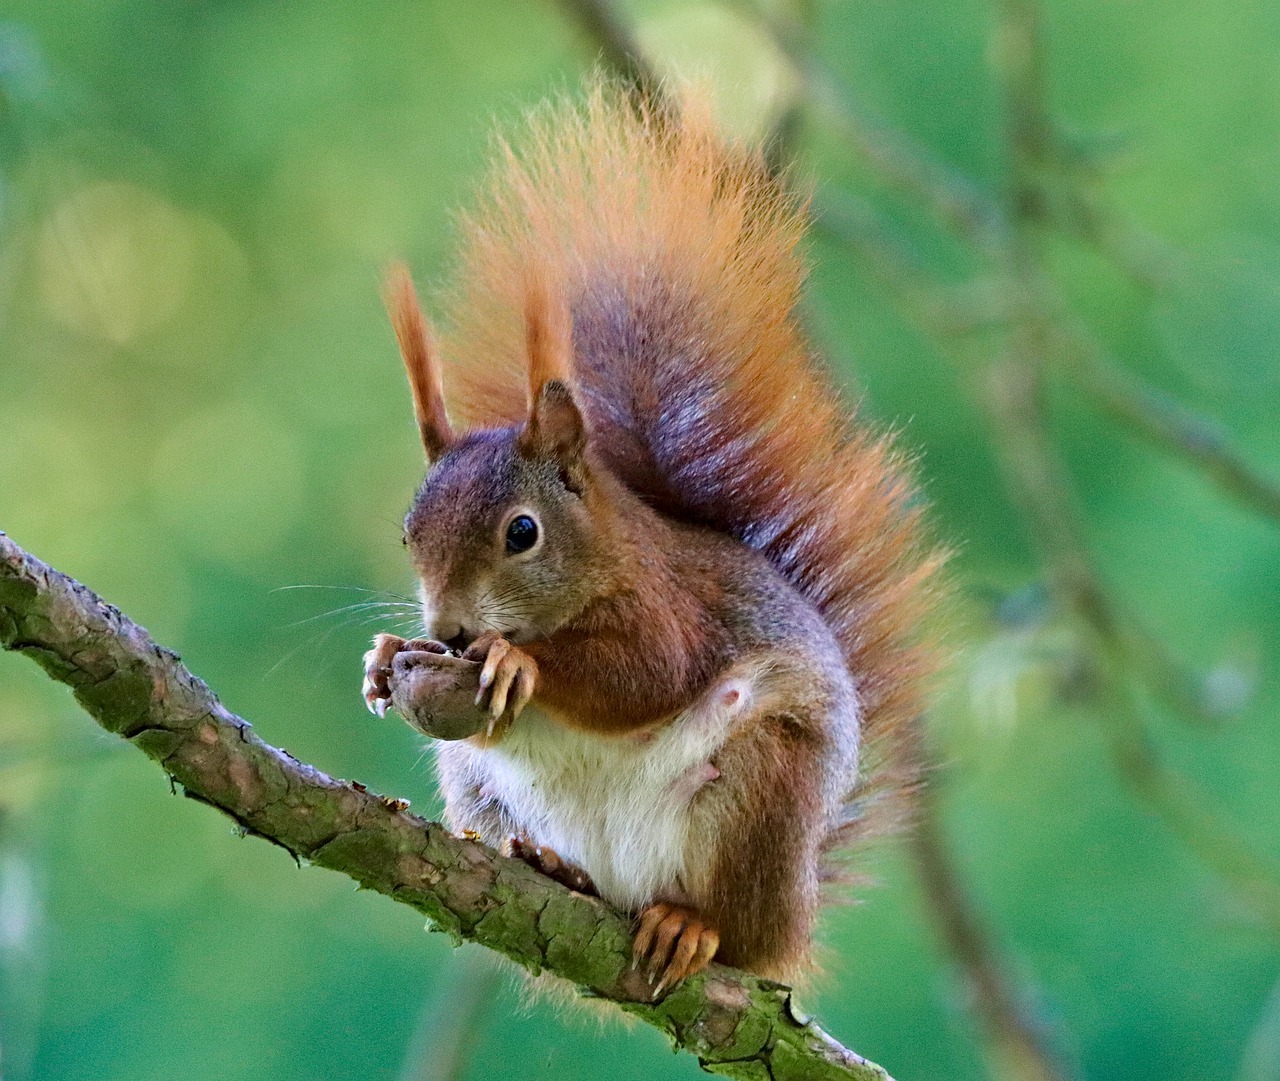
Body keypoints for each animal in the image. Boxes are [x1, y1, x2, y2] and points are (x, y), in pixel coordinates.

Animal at [360, 84, 942, 997]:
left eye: (522, 531)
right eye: (408, 533)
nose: (447, 630)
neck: (599, 556)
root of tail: (798, 913)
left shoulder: (668, 600)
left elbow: (649, 672)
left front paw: (519, 663)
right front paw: (385, 657)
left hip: (761, 792)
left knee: (737, 931)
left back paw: (690, 927)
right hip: (486, 795)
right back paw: (559, 869)